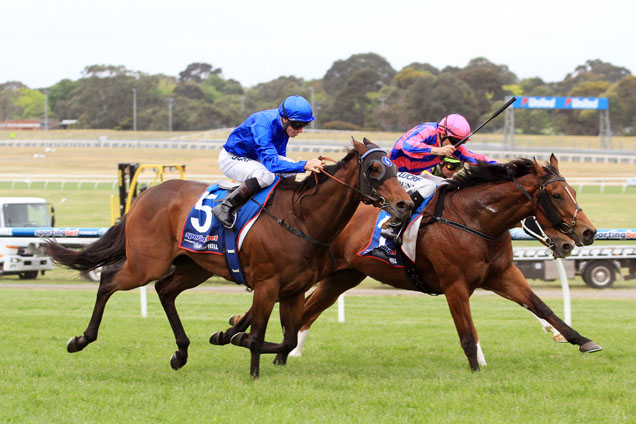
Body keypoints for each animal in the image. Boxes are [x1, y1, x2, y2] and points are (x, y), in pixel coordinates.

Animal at [44, 139, 412, 378]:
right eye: (375, 168)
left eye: (396, 167)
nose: (406, 204)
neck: (302, 219)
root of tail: (144, 196)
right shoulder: (267, 285)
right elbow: (261, 333)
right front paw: (246, 357)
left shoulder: (293, 289)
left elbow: (287, 338)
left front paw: (229, 335)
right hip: (146, 263)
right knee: (109, 281)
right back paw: (81, 340)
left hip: (194, 267)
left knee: (165, 290)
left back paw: (181, 352)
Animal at [227, 155, 600, 372]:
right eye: (556, 195)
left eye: (574, 192)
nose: (587, 232)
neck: (475, 220)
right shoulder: (454, 284)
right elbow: (467, 332)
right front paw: (476, 370)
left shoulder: (503, 275)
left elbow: (542, 307)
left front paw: (582, 340)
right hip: (319, 273)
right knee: (290, 307)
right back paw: (248, 337)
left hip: (342, 277)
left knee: (304, 312)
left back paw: (276, 354)